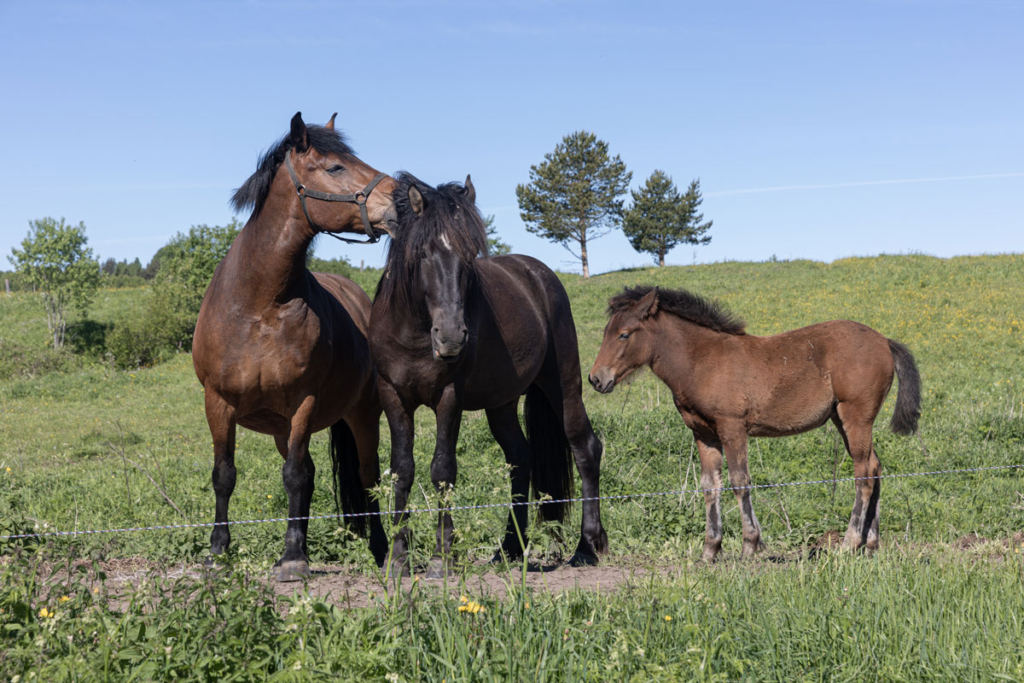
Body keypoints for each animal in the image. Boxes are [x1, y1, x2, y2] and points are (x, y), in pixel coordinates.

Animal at [192, 112, 397, 581]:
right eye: (336, 167)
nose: (402, 199)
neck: (258, 306)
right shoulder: (217, 402)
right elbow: (225, 475)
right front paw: (218, 553)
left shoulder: (303, 401)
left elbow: (295, 477)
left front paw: (292, 559)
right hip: (283, 430)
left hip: (362, 415)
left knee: (366, 475)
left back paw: (379, 547)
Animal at [369, 173, 608, 578]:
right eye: (423, 254)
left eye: (469, 256)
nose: (451, 336)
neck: (413, 332)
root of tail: (539, 275)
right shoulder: (392, 396)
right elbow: (402, 470)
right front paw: (399, 559)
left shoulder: (449, 397)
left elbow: (442, 470)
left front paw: (441, 557)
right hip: (501, 403)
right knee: (521, 458)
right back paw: (509, 548)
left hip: (564, 385)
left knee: (584, 447)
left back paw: (587, 547)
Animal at [589, 285, 921, 562]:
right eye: (606, 332)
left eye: (624, 334)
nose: (596, 379)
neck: (701, 360)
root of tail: (884, 341)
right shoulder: (703, 433)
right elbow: (710, 486)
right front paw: (710, 550)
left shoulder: (732, 427)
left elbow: (739, 481)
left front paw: (750, 544)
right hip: (842, 419)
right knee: (875, 467)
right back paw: (871, 544)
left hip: (856, 417)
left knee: (863, 473)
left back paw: (850, 543)